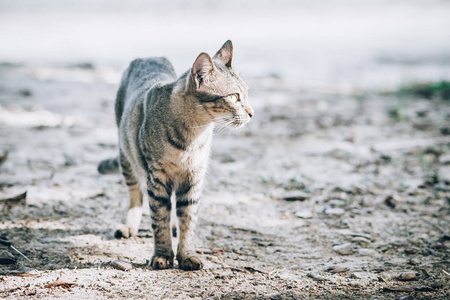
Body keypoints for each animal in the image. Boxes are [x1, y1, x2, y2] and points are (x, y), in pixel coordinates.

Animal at [97, 41, 255, 270]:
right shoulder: (157, 178)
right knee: (136, 194)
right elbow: (159, 219)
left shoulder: (193, 178)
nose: (252, 113)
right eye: (234, 96)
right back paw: (128, 225)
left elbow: (188, 221)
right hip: (126, 156)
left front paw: (186, 254)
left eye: (247, 93)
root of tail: (149, 56)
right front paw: (162, 255)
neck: (193, 136)